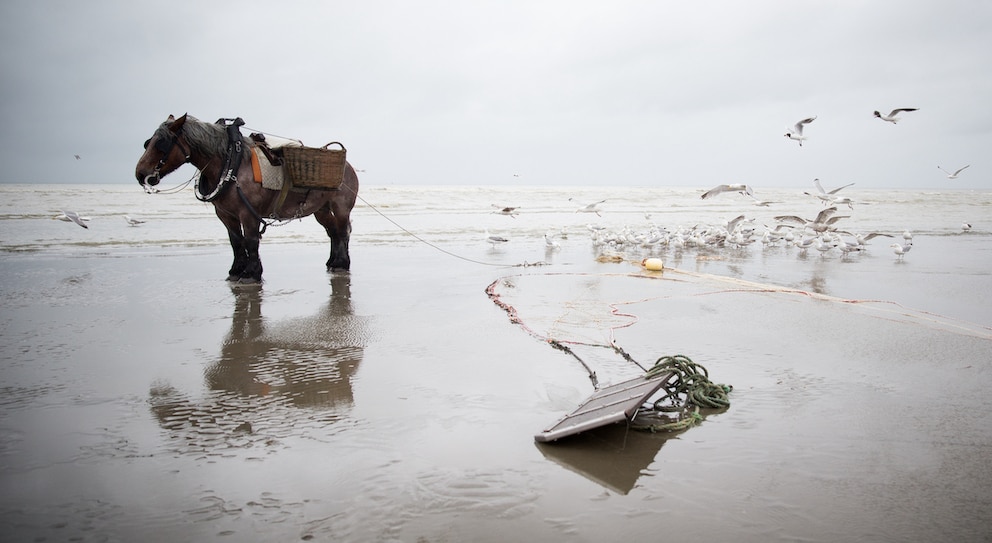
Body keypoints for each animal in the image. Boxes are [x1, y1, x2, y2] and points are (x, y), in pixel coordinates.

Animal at [134, 115, 358, 284]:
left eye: (161, 144)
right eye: (148, 143)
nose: (140, 173)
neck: (231, 163)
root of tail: (348, 166)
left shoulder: (248, 213)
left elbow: (251, 241)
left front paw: (251, 274)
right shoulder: (226, 214)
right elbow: (236, 241)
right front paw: (236, 271)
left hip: (341, 208)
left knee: (342, 231)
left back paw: (342, 263)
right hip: (320, 209)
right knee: (333, 232)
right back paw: (333, 262)